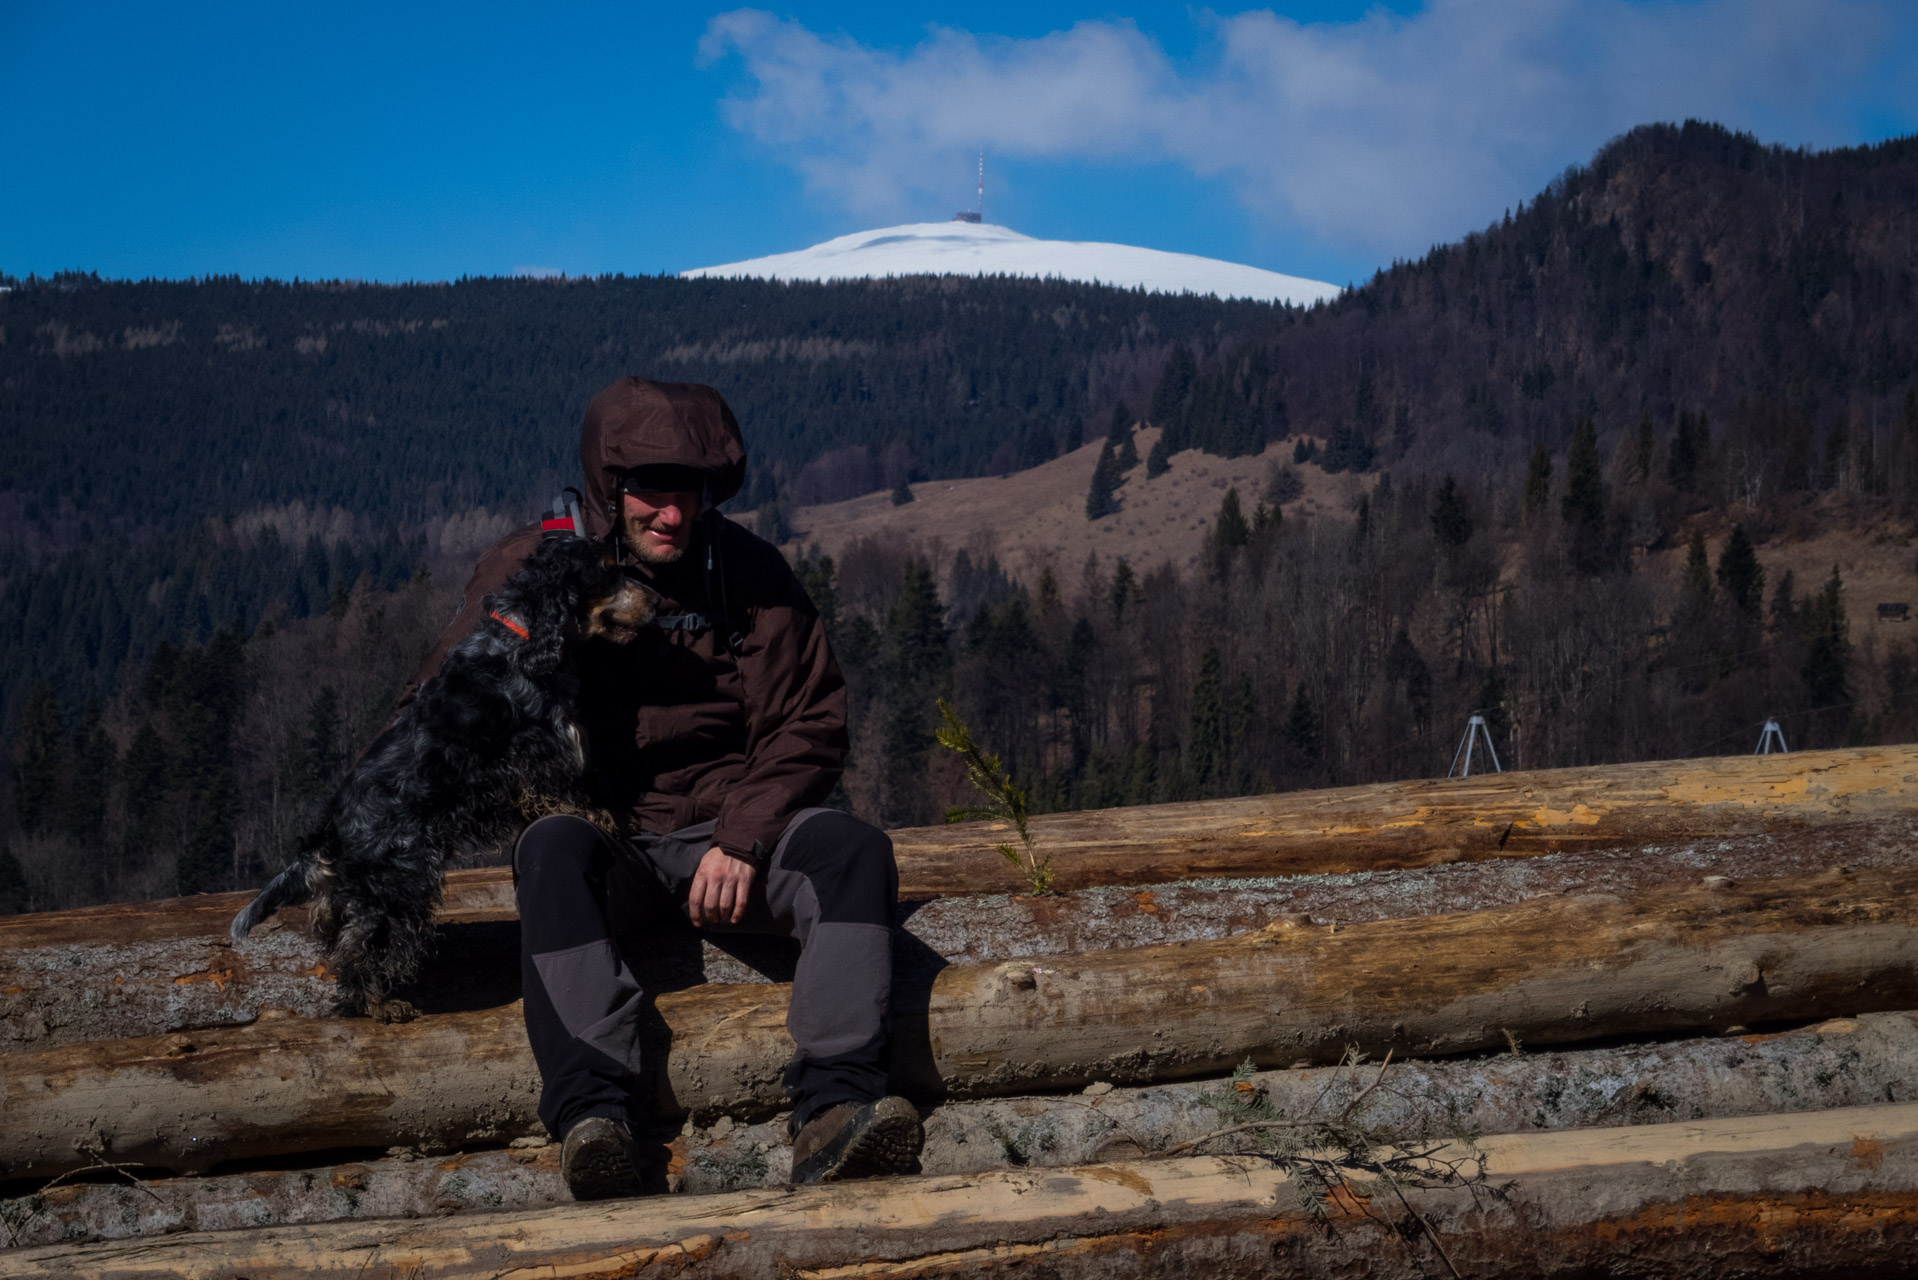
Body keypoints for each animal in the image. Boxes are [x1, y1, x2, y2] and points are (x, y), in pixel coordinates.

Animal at [233, 529, 659, 1020]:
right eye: (608, 571)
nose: (658, 599)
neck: (522, 637)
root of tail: (331, 832)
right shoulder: (542, 745)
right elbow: (568, 788)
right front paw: (600, 816)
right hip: (402, 880)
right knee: (366, 945)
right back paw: (380, 1004)